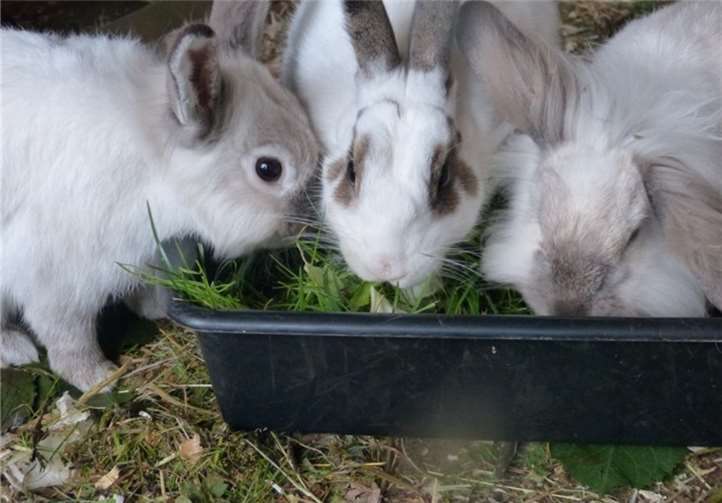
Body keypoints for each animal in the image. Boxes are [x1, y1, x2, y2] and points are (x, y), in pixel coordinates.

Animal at [0, 0, 320, 391]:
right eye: (268, 169)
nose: (311, 223)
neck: (154, 177)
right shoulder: (56, 283)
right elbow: (69, 339)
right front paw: (98, 377)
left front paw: (153, 311)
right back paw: (17, 349)